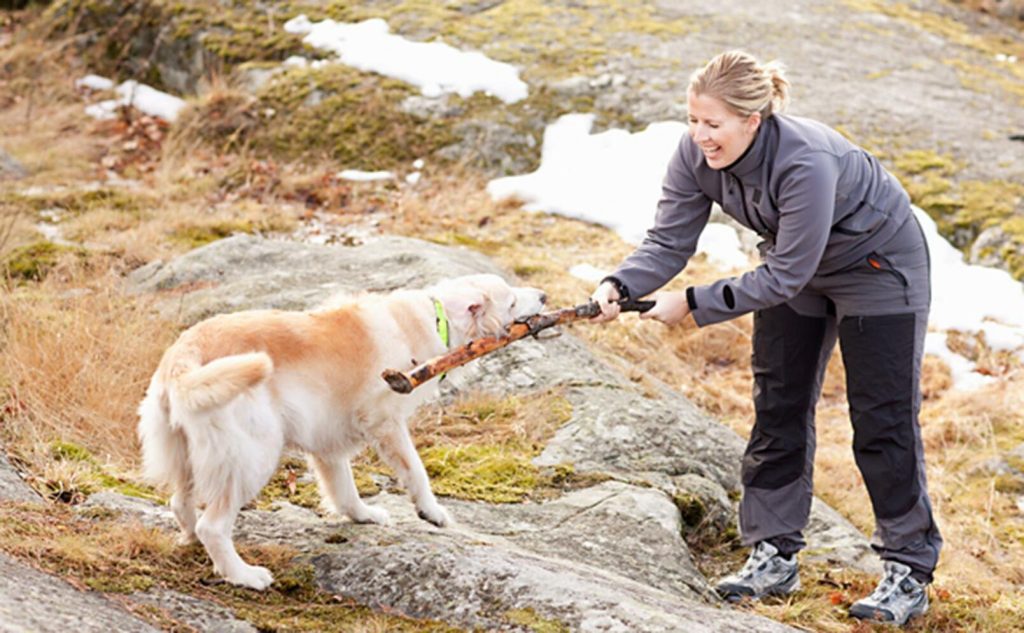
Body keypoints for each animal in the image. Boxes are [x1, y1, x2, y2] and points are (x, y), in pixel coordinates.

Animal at [142, 270, 552, 585]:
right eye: (511, 301)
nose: (545, 295)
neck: (436, 318)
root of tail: (182, 357)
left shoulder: (327, 440)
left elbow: (344, 489)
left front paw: (363, 515)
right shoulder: (386, 421)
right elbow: (416, 471)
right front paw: (432, 512)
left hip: (188, 454)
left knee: (181, 505)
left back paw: (193, 543)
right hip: (252, 455)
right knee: (213, 526)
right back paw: (244, 575)